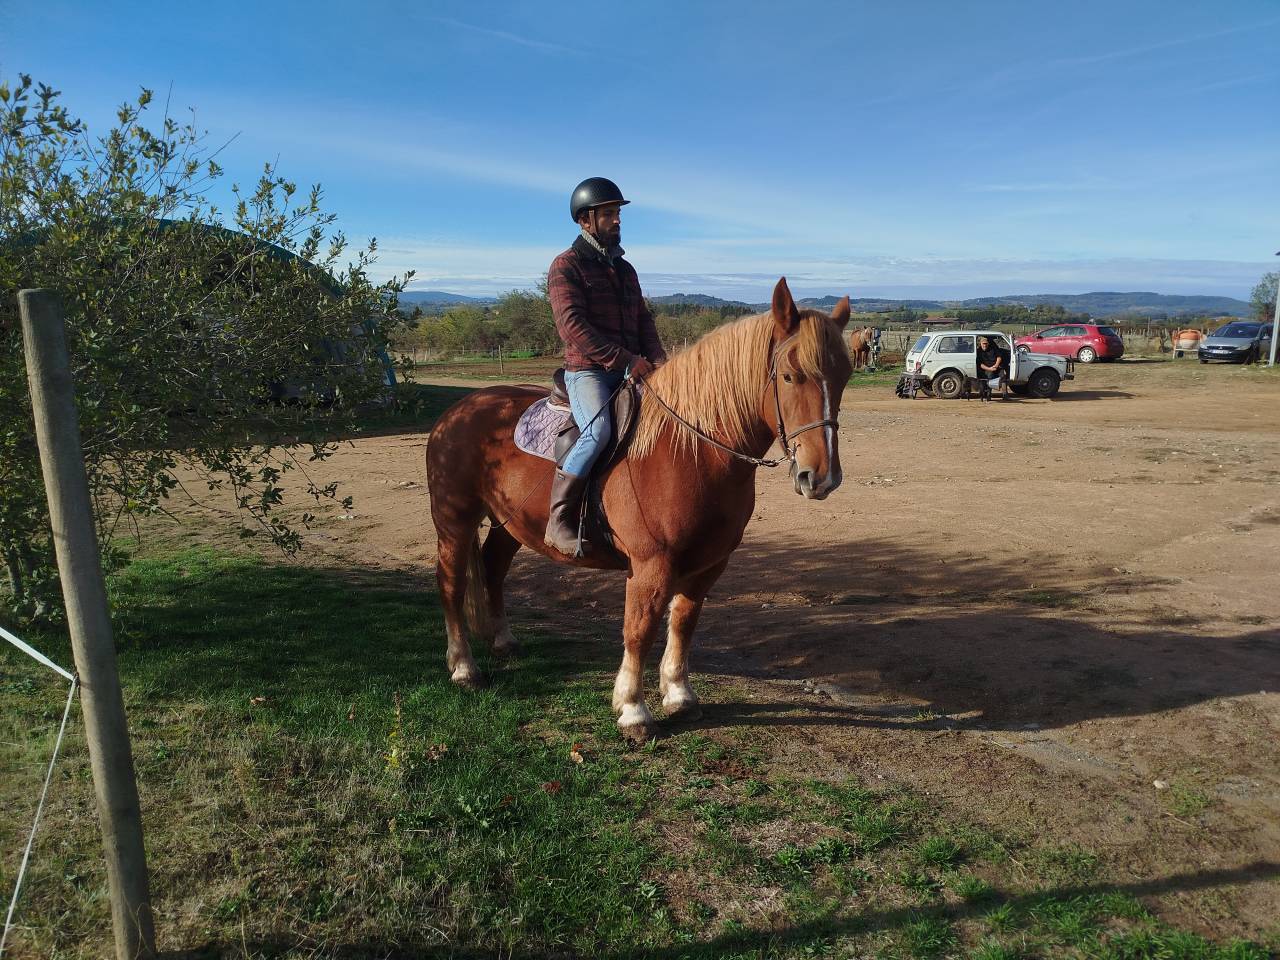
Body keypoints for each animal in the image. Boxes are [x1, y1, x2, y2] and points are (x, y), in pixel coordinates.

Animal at [425, 278, 854, 743]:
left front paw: (680, 695)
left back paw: (503, 641)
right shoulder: (652, 565)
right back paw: (464, 668)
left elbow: (683, 623)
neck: (690, 449)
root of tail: (460, 410)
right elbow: (640, 629)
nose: (821, 477)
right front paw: (633, 710)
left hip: (512, 524)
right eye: (791, 376)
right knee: (451, 585)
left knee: (493, 570)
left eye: (845, 376)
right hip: (454, 521)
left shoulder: (708, 564)